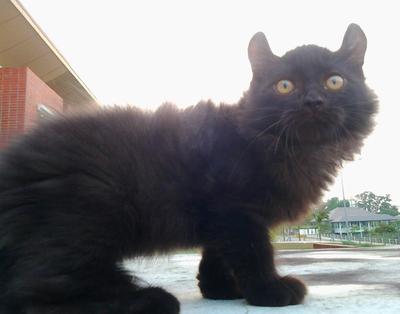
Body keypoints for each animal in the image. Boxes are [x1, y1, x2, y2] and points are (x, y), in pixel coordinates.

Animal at [0, 24, 376, 314]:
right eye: (285, 86)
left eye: (334, 82)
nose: (313, 101)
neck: (295, 149)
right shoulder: (236, 209)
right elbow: (253, 251)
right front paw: (267, 290)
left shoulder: (220, 215)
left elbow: (216, 253)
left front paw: (220, 289)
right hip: (92, 206)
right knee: (34, 290)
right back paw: (147, 300)